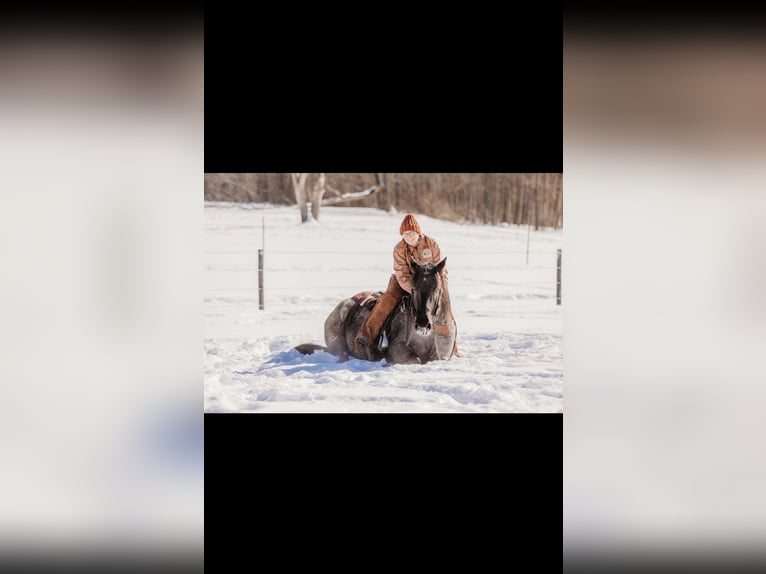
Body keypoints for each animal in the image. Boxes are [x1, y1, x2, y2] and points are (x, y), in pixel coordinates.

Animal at [295, 258, 457, 365]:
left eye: (436, 288)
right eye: (413, 288)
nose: (423, 323)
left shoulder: (441, 355)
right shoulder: (396, 350)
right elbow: (416, 360)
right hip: (338, 344)